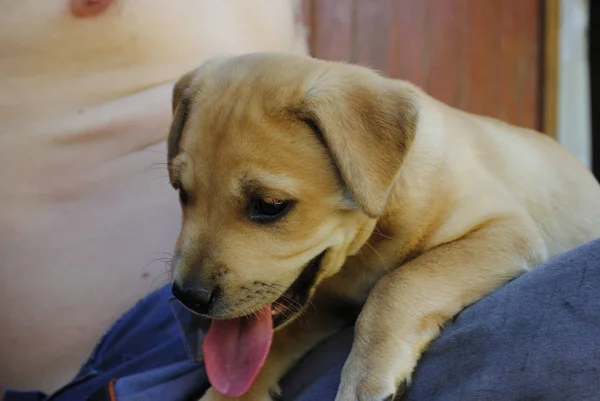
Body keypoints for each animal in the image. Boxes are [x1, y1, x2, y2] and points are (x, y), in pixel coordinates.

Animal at [166, 53, 600, 400]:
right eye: (182, 193)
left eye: (270, 206)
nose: (188, 297)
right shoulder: (322, 303)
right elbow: (269, 346)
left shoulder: (504, 229)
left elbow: (399, 283)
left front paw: (366, 379)